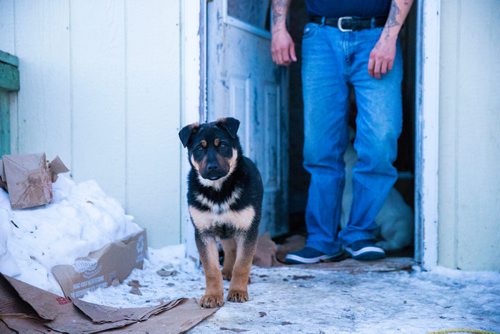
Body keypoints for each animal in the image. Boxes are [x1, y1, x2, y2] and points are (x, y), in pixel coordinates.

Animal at [180, 117, 266, 308]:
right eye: (199, 148)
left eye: (223, 145)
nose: (212, 167)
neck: (218, 191)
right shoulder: (204, 232)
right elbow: (211, 269)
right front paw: (212, 296)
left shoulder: (248, 229)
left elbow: (242, 264)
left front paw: (238, 291)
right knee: (230, 249)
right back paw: (226, 270)